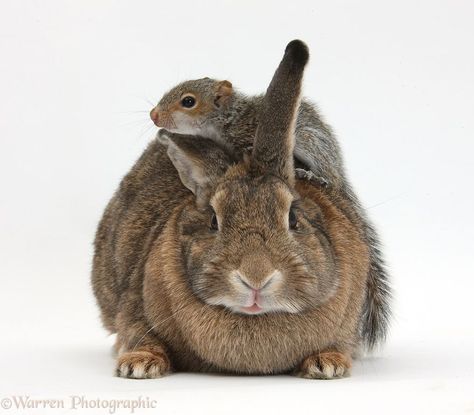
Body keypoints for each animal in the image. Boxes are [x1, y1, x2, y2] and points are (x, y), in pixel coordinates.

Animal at [150, 75, 390, 352]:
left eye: (188, 101)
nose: (153, 115)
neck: (227, 120)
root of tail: (340, 175)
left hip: (310, 142)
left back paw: (310, 174)